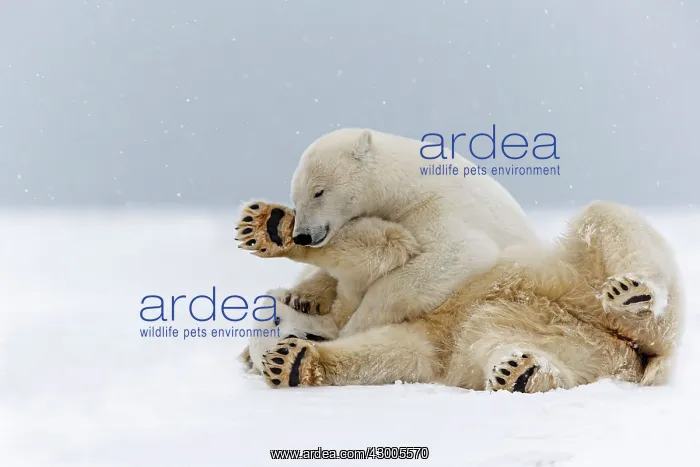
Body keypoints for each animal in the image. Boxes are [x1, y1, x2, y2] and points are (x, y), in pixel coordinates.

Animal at [236, 200, 682, 391]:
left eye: (273, 320)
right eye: (261, 353)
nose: (287, 339)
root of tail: (640, 355)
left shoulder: (367, 299)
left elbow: (382, 249)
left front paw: (273, 228)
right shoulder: (430, 337)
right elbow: (398, 354)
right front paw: (292, 364)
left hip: (578, 283)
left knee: (606, 218)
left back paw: (635, 293)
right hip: (576, 345)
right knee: (494, 340)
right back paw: (521, 373)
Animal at [274, 128, 540, 338]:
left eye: (318, 192)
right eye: (295, 198)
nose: (302, 236)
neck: (406, 187)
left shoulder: (438, 207)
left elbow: (458, 253)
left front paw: (355, 325)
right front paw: (301, 296)